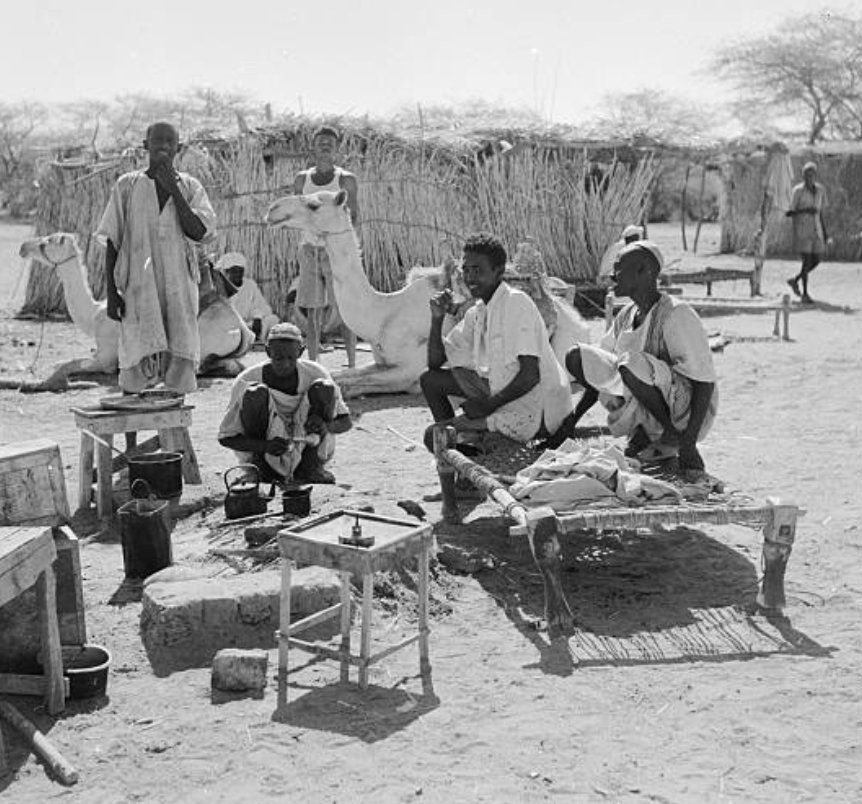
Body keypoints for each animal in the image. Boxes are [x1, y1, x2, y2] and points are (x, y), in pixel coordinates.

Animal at [8, 232, 255, 392]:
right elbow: (61, 362)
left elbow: (71, 364)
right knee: (228, 365)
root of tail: (241, 329)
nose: (23, 247)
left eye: (48, 242)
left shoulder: (106, 358)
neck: (93, 315)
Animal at [265, 189, 590, 398]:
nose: (272, 210)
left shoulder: (409, 369)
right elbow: (339, 374)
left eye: (313, 205)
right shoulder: (382, 361)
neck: (381, 315)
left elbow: (349, 384)